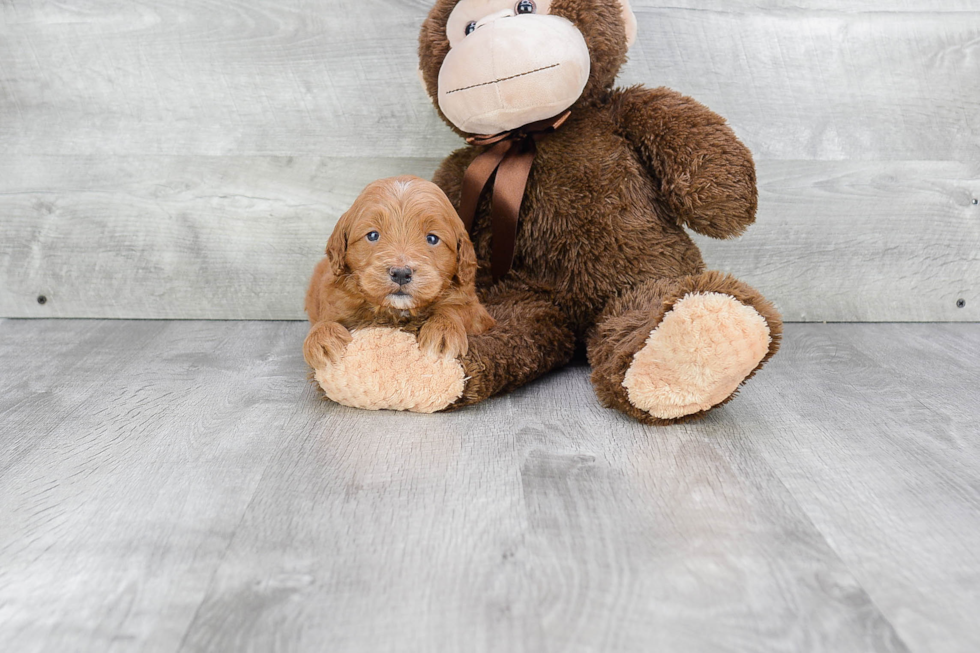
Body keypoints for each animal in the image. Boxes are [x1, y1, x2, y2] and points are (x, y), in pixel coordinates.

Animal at [302, 174, 494, 366]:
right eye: (373, 235)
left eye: (432, 238)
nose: (401, 273)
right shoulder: (335, 299)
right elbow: (324, 319)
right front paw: (323, 337)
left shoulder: (477, 312)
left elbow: (456, 308)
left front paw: (443, 330)